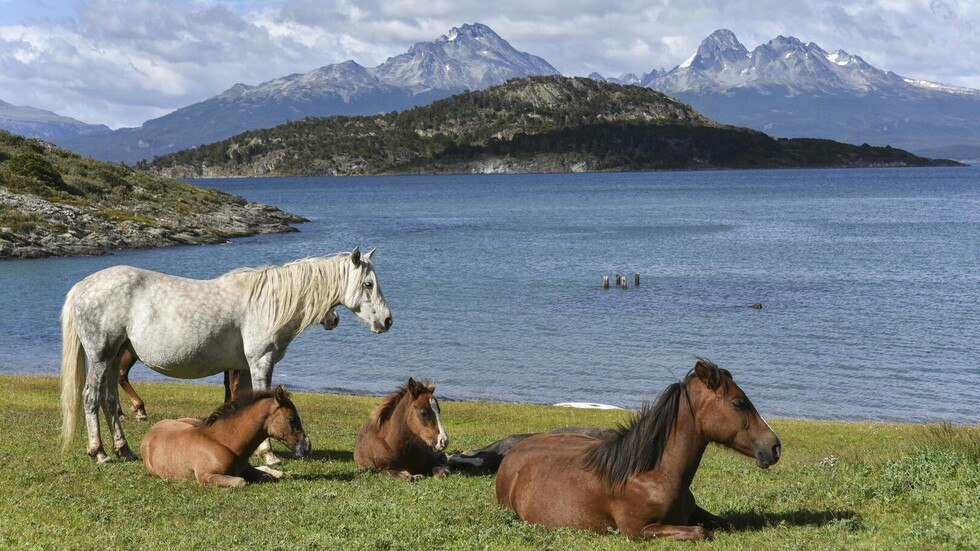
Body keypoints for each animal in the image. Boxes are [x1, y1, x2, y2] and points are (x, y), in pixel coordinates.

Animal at [59, 249, 390, 466]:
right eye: (368, 284)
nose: (387, 321)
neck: (268, 301)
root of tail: (83, 285)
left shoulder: (240, 368)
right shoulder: (260, 362)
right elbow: (262, 401)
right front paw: (269, 454)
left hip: (116, 355)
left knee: (109, 400)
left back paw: (124, 450)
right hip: (101, 356)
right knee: (91, 397)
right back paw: (99, 452)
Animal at [141, 384, 310, 488]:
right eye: (291, 418)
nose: (306, 447)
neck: (224, 442)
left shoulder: (247, 469)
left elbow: (265, 476)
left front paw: (276, 473)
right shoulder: (206, 476)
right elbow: (241, 482)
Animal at [498, 358, 780, 544]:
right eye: (738, 403)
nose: (774, 447)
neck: (653, 474)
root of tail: (511, 454)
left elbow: (726, 523)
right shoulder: (636, 530)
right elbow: (701, 531)